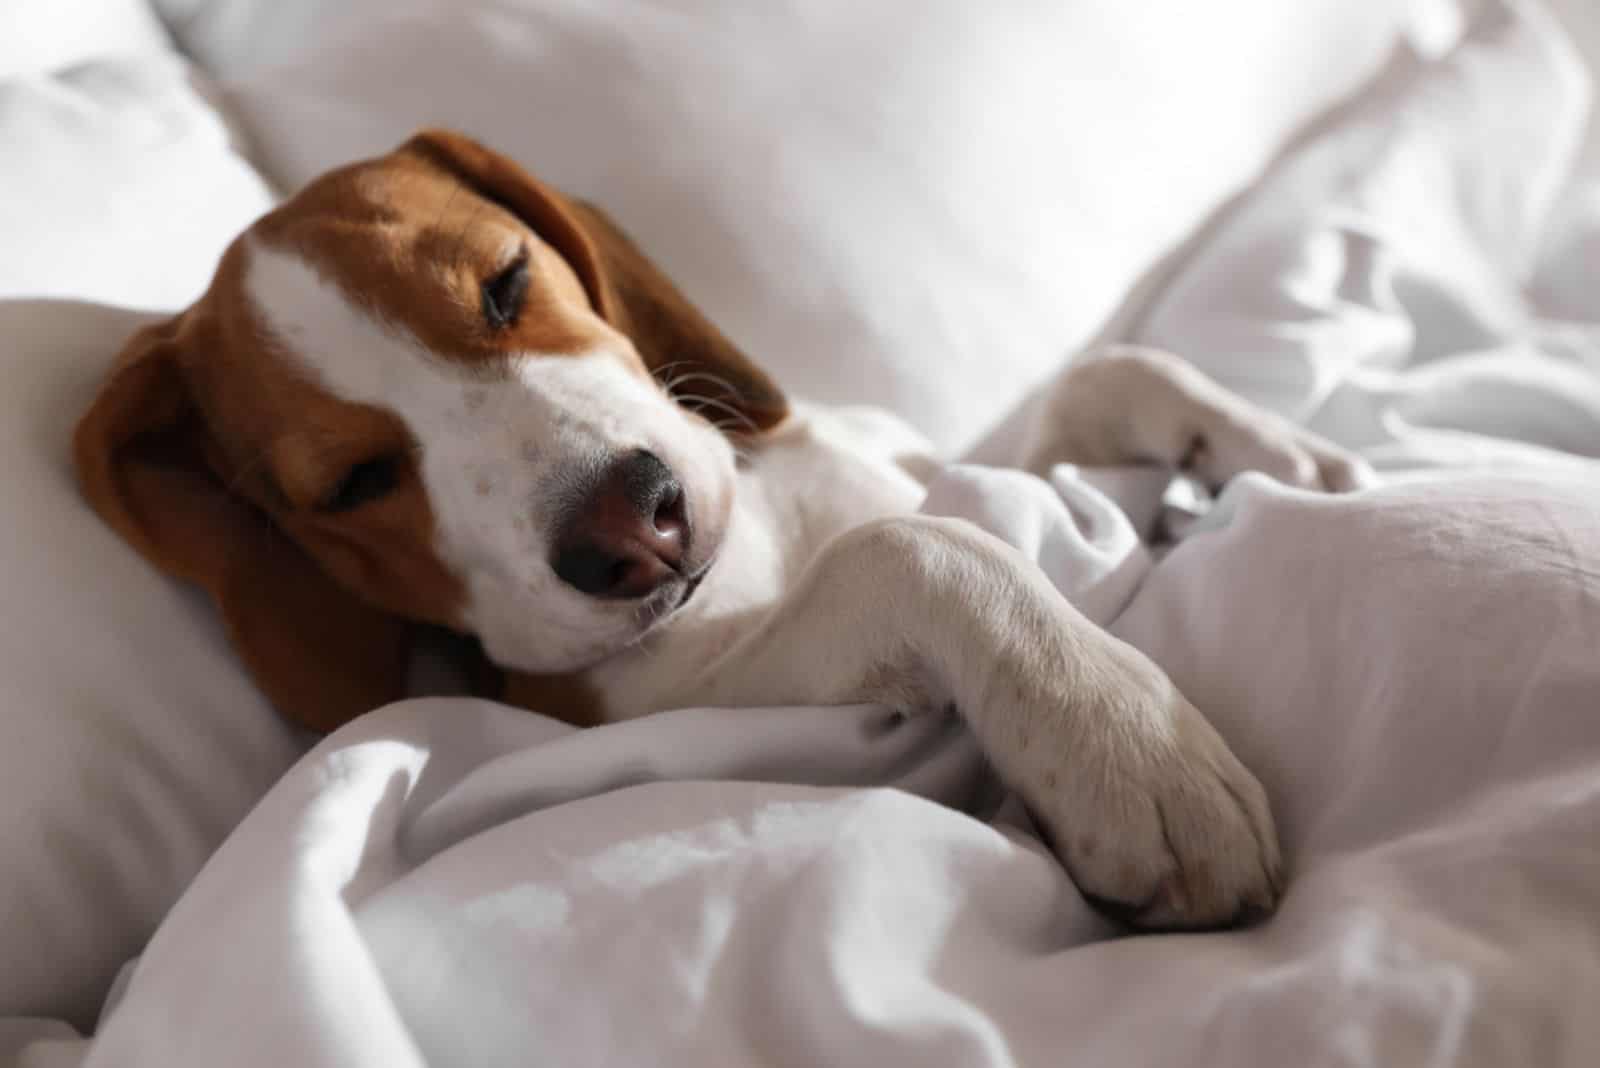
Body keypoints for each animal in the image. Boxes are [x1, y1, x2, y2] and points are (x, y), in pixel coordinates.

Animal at [75, 127, 1369, 927]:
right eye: (350, 484)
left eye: (504, 285)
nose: (629, 528)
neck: (763, 532)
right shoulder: (652, 705)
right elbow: (914, 547)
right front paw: (1125, 743)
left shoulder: (931, 463)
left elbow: (1100, 378)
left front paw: (1271, 448)